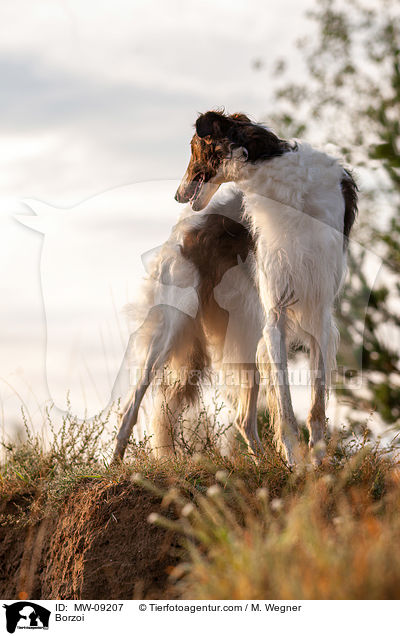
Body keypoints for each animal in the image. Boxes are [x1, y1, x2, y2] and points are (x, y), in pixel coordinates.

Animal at [174, 112, 356, 464]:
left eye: (191, 148)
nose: (176, 195)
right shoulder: (275, 313)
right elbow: (285, 408)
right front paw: (295, 462)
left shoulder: (320, 313)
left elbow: (316, 405)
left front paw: (317, 463)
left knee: (243, 419)